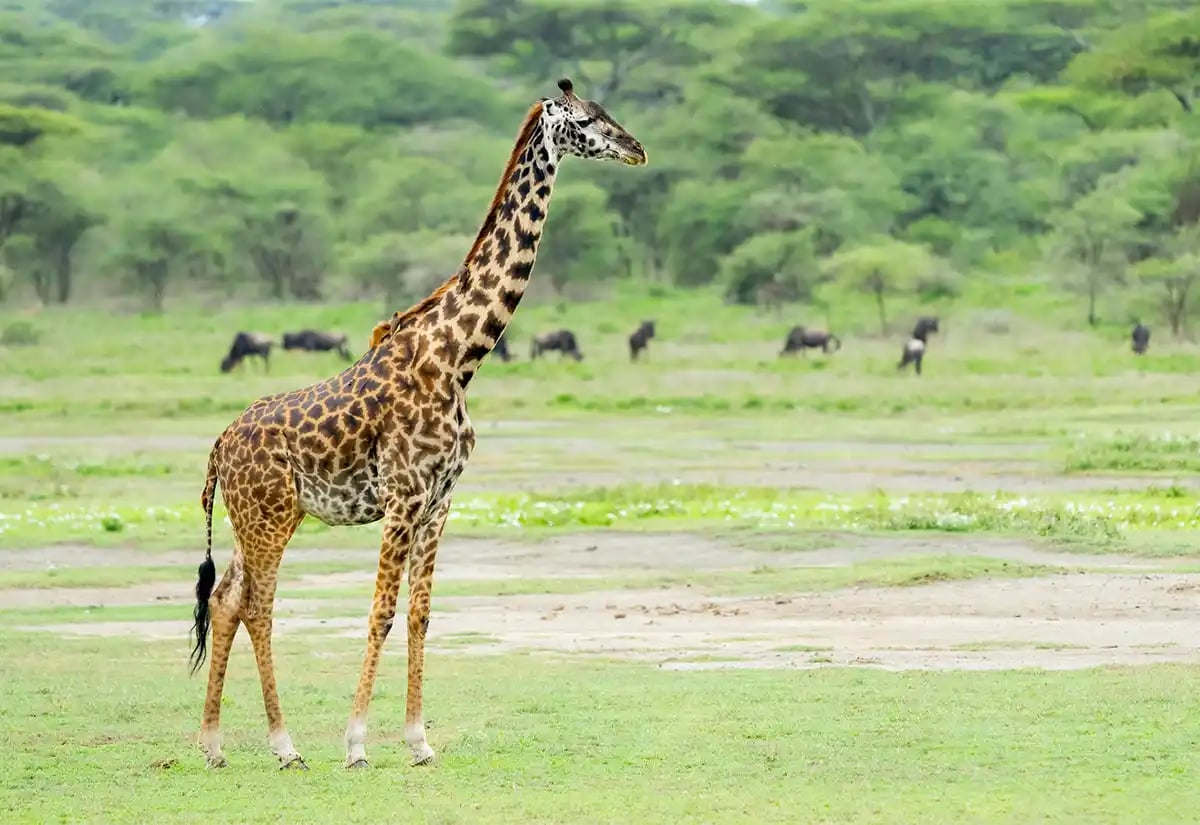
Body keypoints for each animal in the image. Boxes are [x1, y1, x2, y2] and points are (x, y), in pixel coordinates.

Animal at [187, 78, 646, 771]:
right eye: (587, 119)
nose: (637, 148)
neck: (459, 358)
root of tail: (218, 446)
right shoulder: (403, 496)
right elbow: (379, 611)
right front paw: (355, 743)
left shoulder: (439, 501)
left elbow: (420, 614)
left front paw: (418, 740)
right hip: (267, 519)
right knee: (258, 607)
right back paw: (285, 746)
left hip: (263, 517)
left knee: (226, 600)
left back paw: (214, 745)